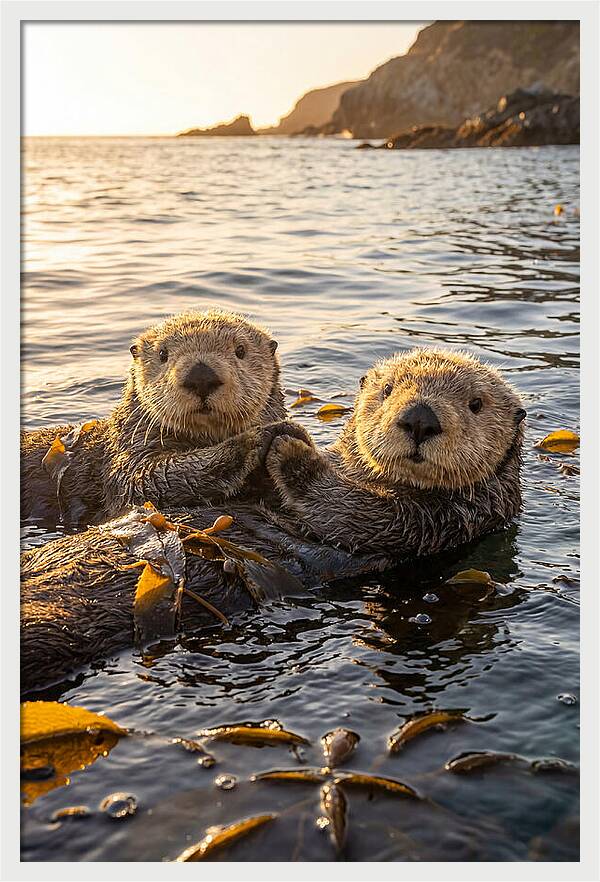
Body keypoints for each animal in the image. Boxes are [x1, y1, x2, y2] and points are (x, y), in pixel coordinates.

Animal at [21, 308, 287, 526]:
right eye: (162, 353)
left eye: (240, 350)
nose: (201, 376)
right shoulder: (128, 456)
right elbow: (147, 479)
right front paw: (258, 438)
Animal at [21, 348, 526, 693]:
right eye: (387, 391)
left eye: (476, 404)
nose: (420, 418)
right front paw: (273, 435)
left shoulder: (439, 521)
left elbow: (349, 510)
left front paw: (289, 448)